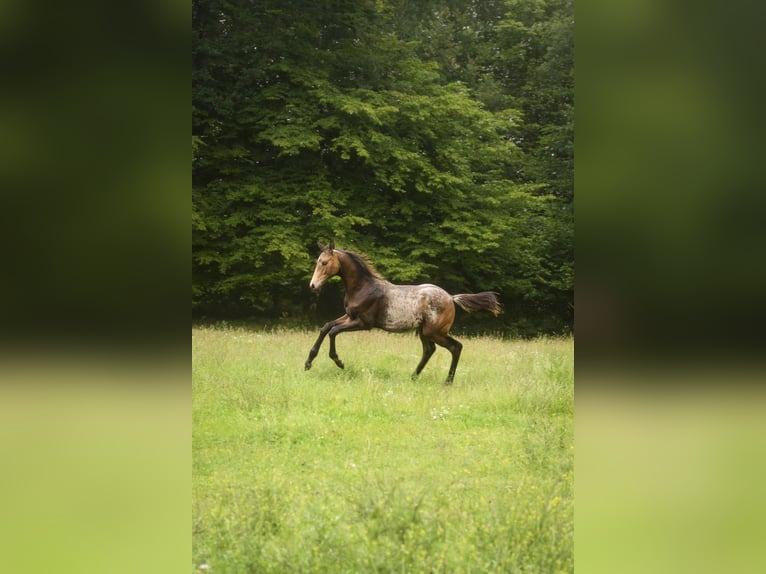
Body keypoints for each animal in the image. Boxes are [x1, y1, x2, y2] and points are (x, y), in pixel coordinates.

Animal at [306, 241, 504, 384]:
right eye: (317, 262)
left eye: (324, 263)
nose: (313, 286)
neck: (363, 288)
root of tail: (451, 297)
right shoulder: (349, 316)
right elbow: (326, 327)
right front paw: (308, 362)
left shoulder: (363, 323)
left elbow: (333, 331)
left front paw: (339, 361)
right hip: (424, 332)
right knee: (429, 350)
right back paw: (413, 377)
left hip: (435, 332)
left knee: (456, 347)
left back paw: (447, 381)